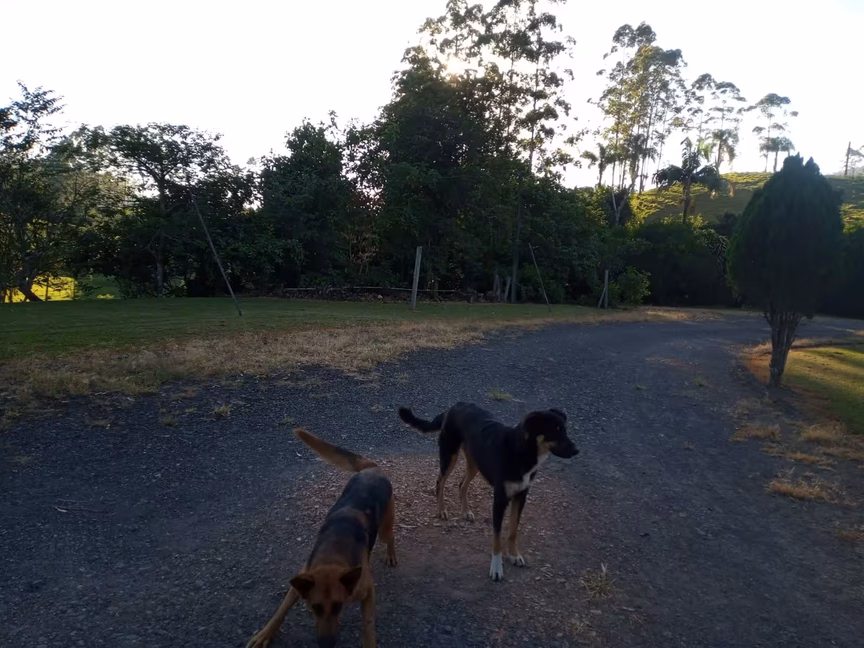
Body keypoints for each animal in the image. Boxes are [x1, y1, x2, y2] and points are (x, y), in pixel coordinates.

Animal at [246, 428, 397, 648]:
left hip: (385, 529)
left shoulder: (367, 590)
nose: (326, 643)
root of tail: (372, 469)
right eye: (315, 608)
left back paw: (391, 554)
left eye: (338, 606)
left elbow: (368, 626)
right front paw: (266, 633)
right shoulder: (300, 582)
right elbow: (281, 611)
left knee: (390, 537)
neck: (332, 555)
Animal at [397, 402, 577, 582]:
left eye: (565, 429)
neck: (521, 451)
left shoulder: (521, 496)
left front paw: (514, 555)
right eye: (555, 430)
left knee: (461, 485)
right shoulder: (499, 500)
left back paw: (466, 511)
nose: (577, 451)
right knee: (440, 483)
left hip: (475, 463)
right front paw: (496, 568)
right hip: (450, 456)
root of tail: (455, 406)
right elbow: (497, 538)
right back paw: (441, 510)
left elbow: (513, 531)